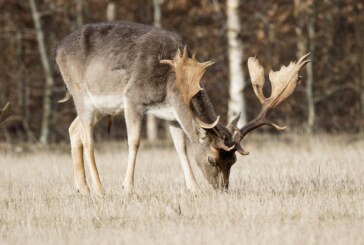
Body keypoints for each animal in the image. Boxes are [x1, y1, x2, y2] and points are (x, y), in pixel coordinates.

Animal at [54, 22, 310, 195]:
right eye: (211, 159)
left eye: (234, 161)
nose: (223, 189)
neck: (170, 82)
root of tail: (57, 48)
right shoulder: (132, 98)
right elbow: (134, 141)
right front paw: (127, 188)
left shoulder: (170, 115)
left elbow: (181, 148)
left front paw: (193, 188)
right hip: (81, 93)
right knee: (88, 139)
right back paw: (100, 189)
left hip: (101, 107)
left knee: (74, 130)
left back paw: (82, 188)